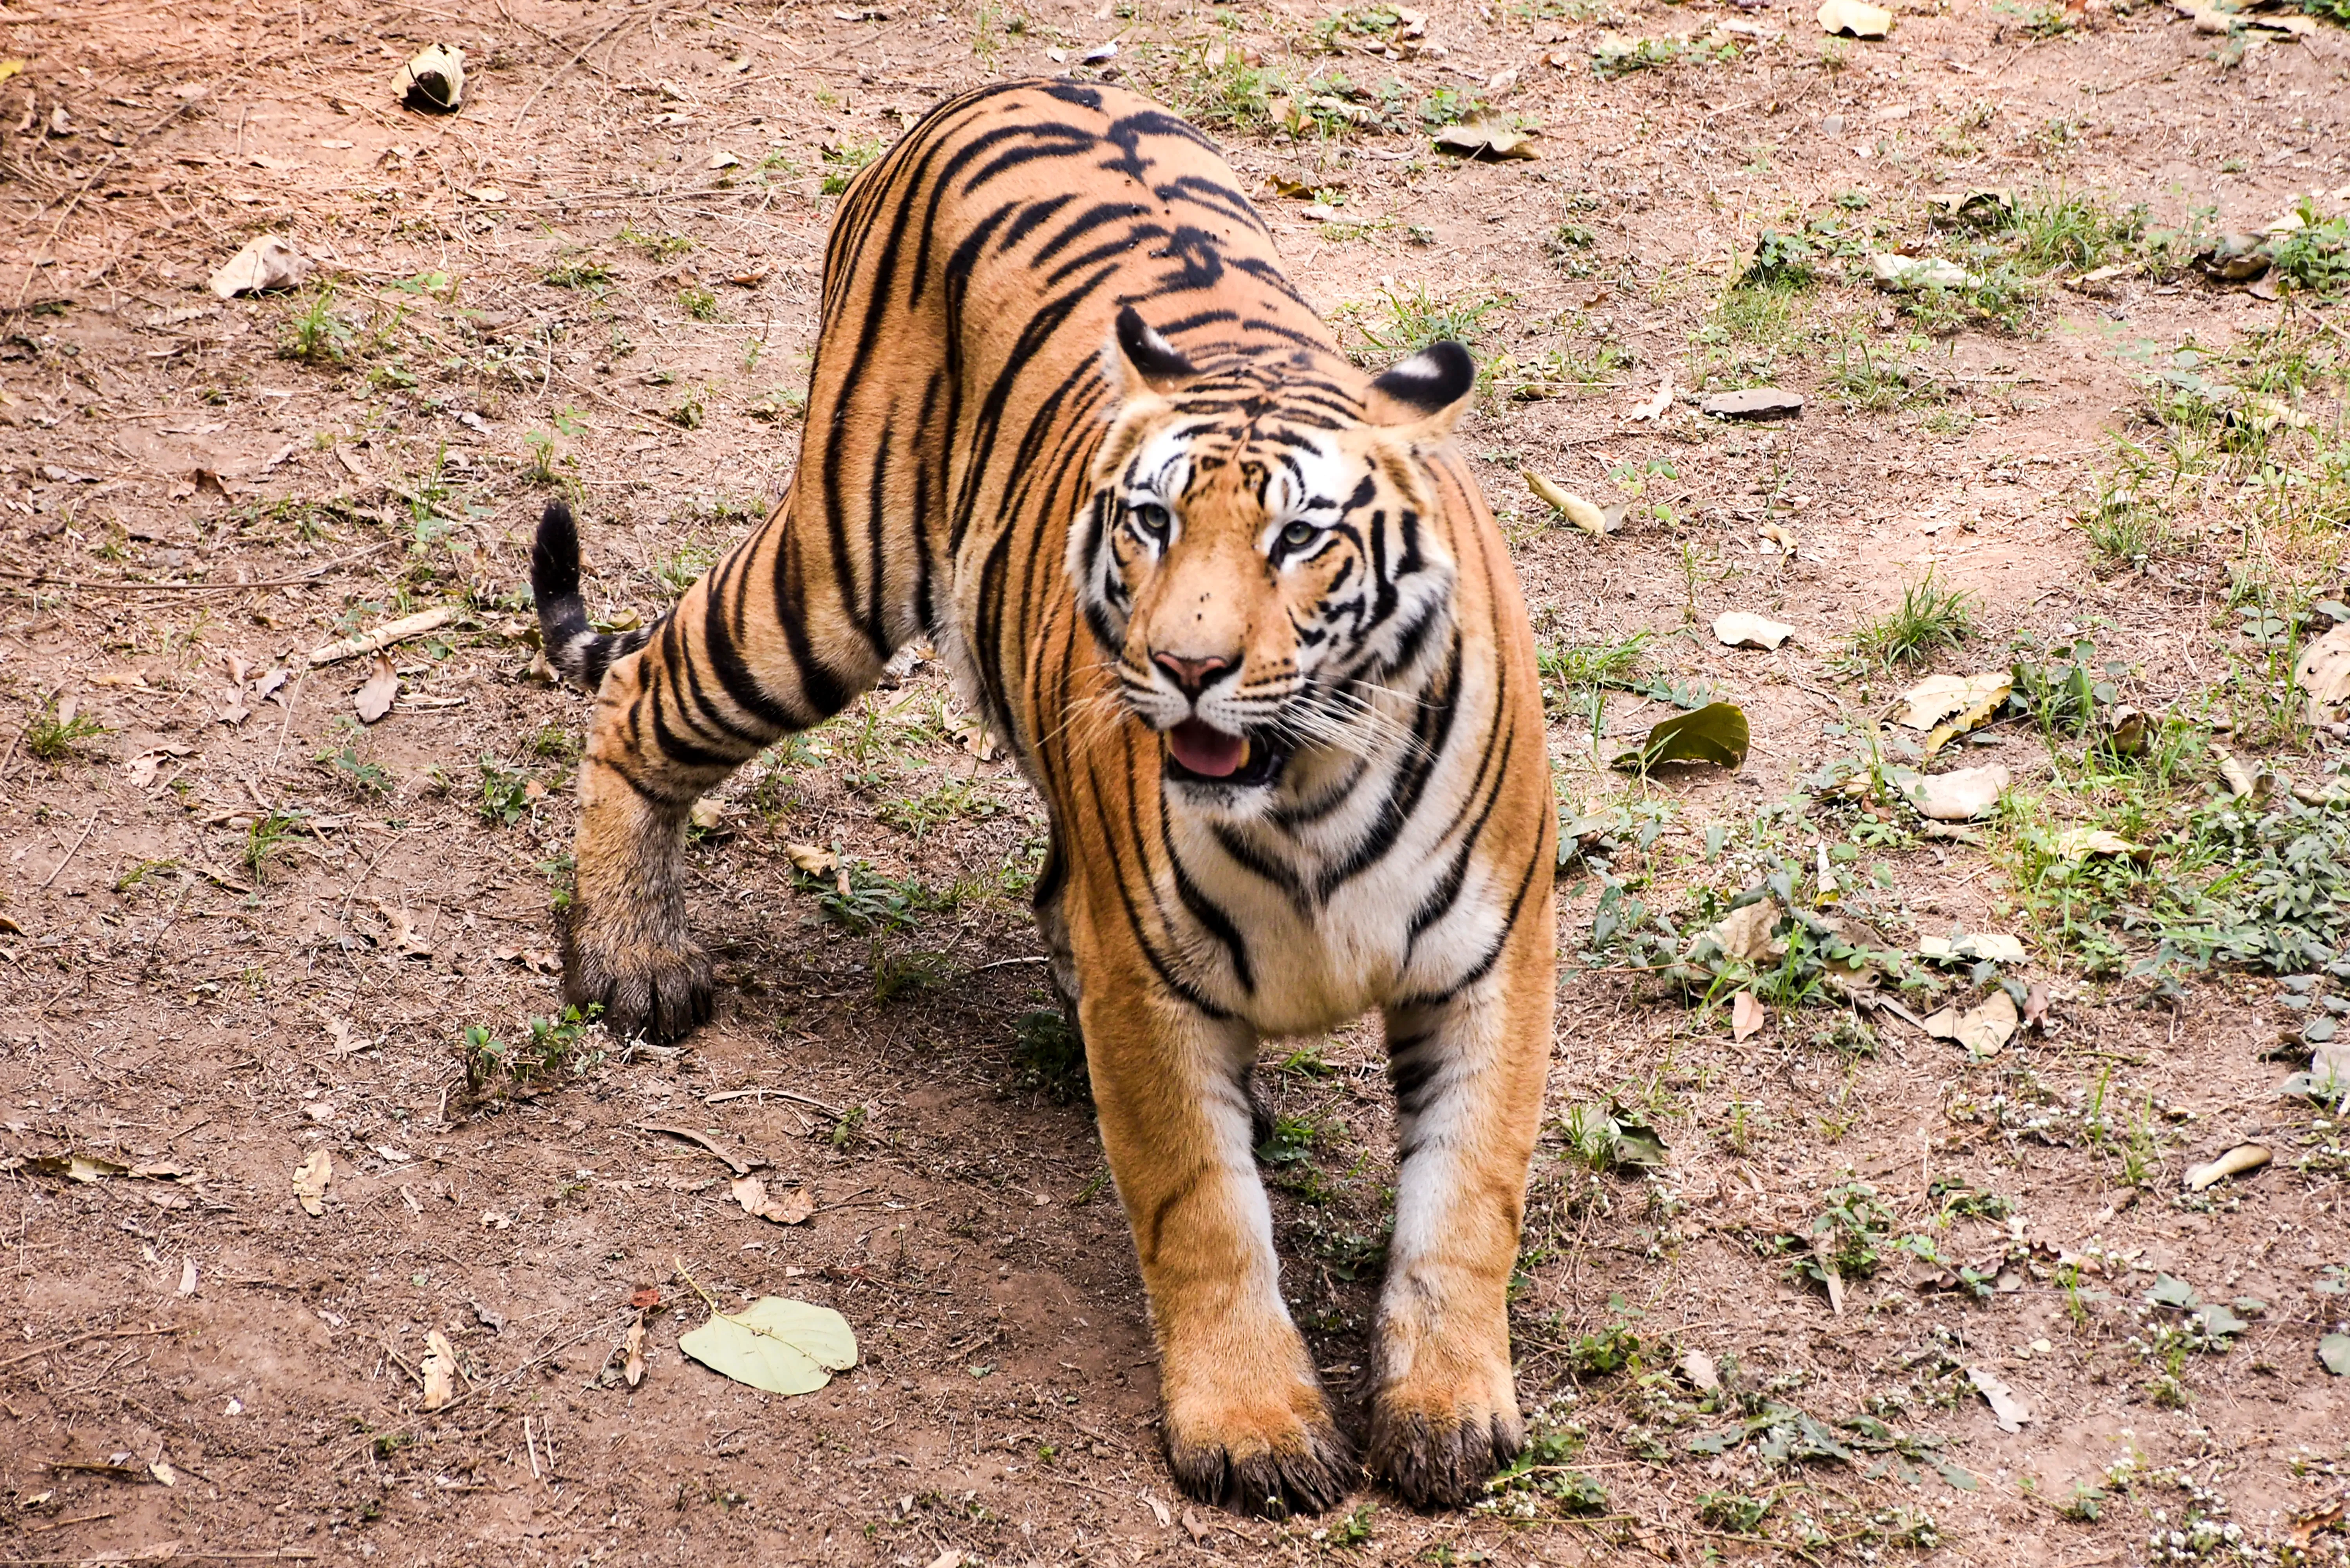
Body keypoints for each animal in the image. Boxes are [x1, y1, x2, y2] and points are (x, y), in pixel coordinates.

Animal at [531, 77, 1557, 1516]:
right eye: (1150, 521)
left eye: (1298, 539)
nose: (1186, 668)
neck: (1309, 788)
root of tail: (1017, 82)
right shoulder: (1153, 986)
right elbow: (1204, 1216)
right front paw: (1256, 1427)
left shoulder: (1492, 967)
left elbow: (1465, 1205)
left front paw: (1449, 1412)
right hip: (832, 573)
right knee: (641, 690)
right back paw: (632, 959)